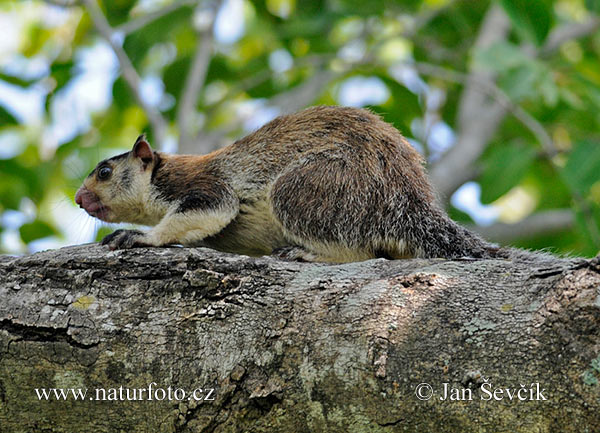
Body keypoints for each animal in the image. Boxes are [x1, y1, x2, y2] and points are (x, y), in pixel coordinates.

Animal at [75, 105, 502, 260]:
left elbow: (210, 208)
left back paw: (308, 255)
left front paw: (141, 236)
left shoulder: (203, 186)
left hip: (310, 192)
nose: (79, 198)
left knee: (361, 252)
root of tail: (409, 196)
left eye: (104, 171)